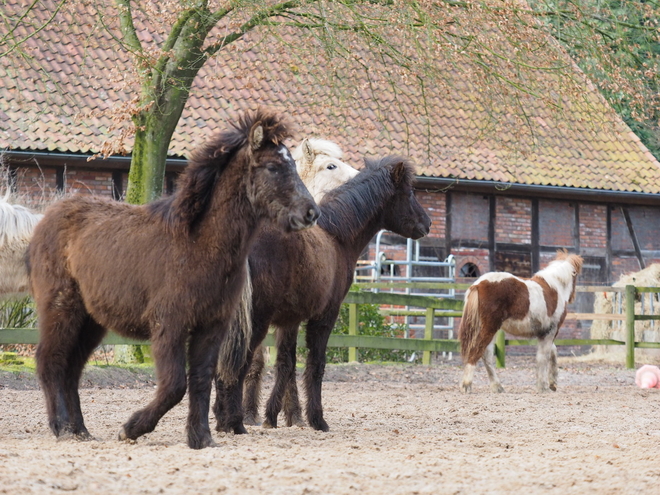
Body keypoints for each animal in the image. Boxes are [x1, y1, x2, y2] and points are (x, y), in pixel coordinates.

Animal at [27, 109, 320, 450]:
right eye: (273, 167)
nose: (311, 213)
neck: (197, 244)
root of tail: (46, 219)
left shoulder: (212, 326)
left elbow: (201, 380)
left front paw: (200, 437)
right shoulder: (170, 325)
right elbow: (175, 385)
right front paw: (131, 428)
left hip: (91, 320)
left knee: (72, 368)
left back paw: (80, 429)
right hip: (61, 308)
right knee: (50, 361)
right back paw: (61, 427)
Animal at [214, 155, 430, 434]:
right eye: (409, 192)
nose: (428, 223)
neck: (336, 235)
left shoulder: (290, 320)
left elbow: (286, 364)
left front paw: (272, 416)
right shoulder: (325, 316)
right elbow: (315, 365)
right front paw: (317, 419)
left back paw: (220, 420)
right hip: (255, 322)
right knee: (238, 364)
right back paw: (235, 422)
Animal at [458, 252, 584, 396]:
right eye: (575, 275)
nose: (572, 297)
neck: (555, 287)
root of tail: (478, 285)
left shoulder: (545, 333)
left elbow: (552, 352)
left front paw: (552, 383)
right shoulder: (551, 331)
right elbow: (543, 357)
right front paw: (543, 386)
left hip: (491, 330)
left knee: (486, 355)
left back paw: (497, 387)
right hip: (489, 328)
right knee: (476, 350)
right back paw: (466, 385)